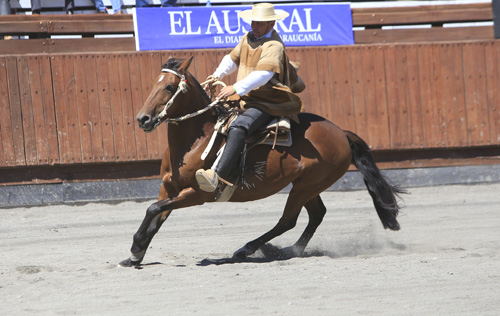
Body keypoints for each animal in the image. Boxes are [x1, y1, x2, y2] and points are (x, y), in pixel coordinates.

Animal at [119, 56, 404, 266]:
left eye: (169, 87)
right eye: (153, 84)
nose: (143, 119)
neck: (197, 139)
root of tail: (341, 133)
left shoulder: (197, 194)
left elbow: (152, 210)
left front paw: (135, 248)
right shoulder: (168, 188)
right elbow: (157, 216)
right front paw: (135, 254)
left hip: (306, 186)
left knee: (288, 220)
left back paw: (251, 250)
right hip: (307, 185)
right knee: (316, 215)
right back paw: (289, 250)